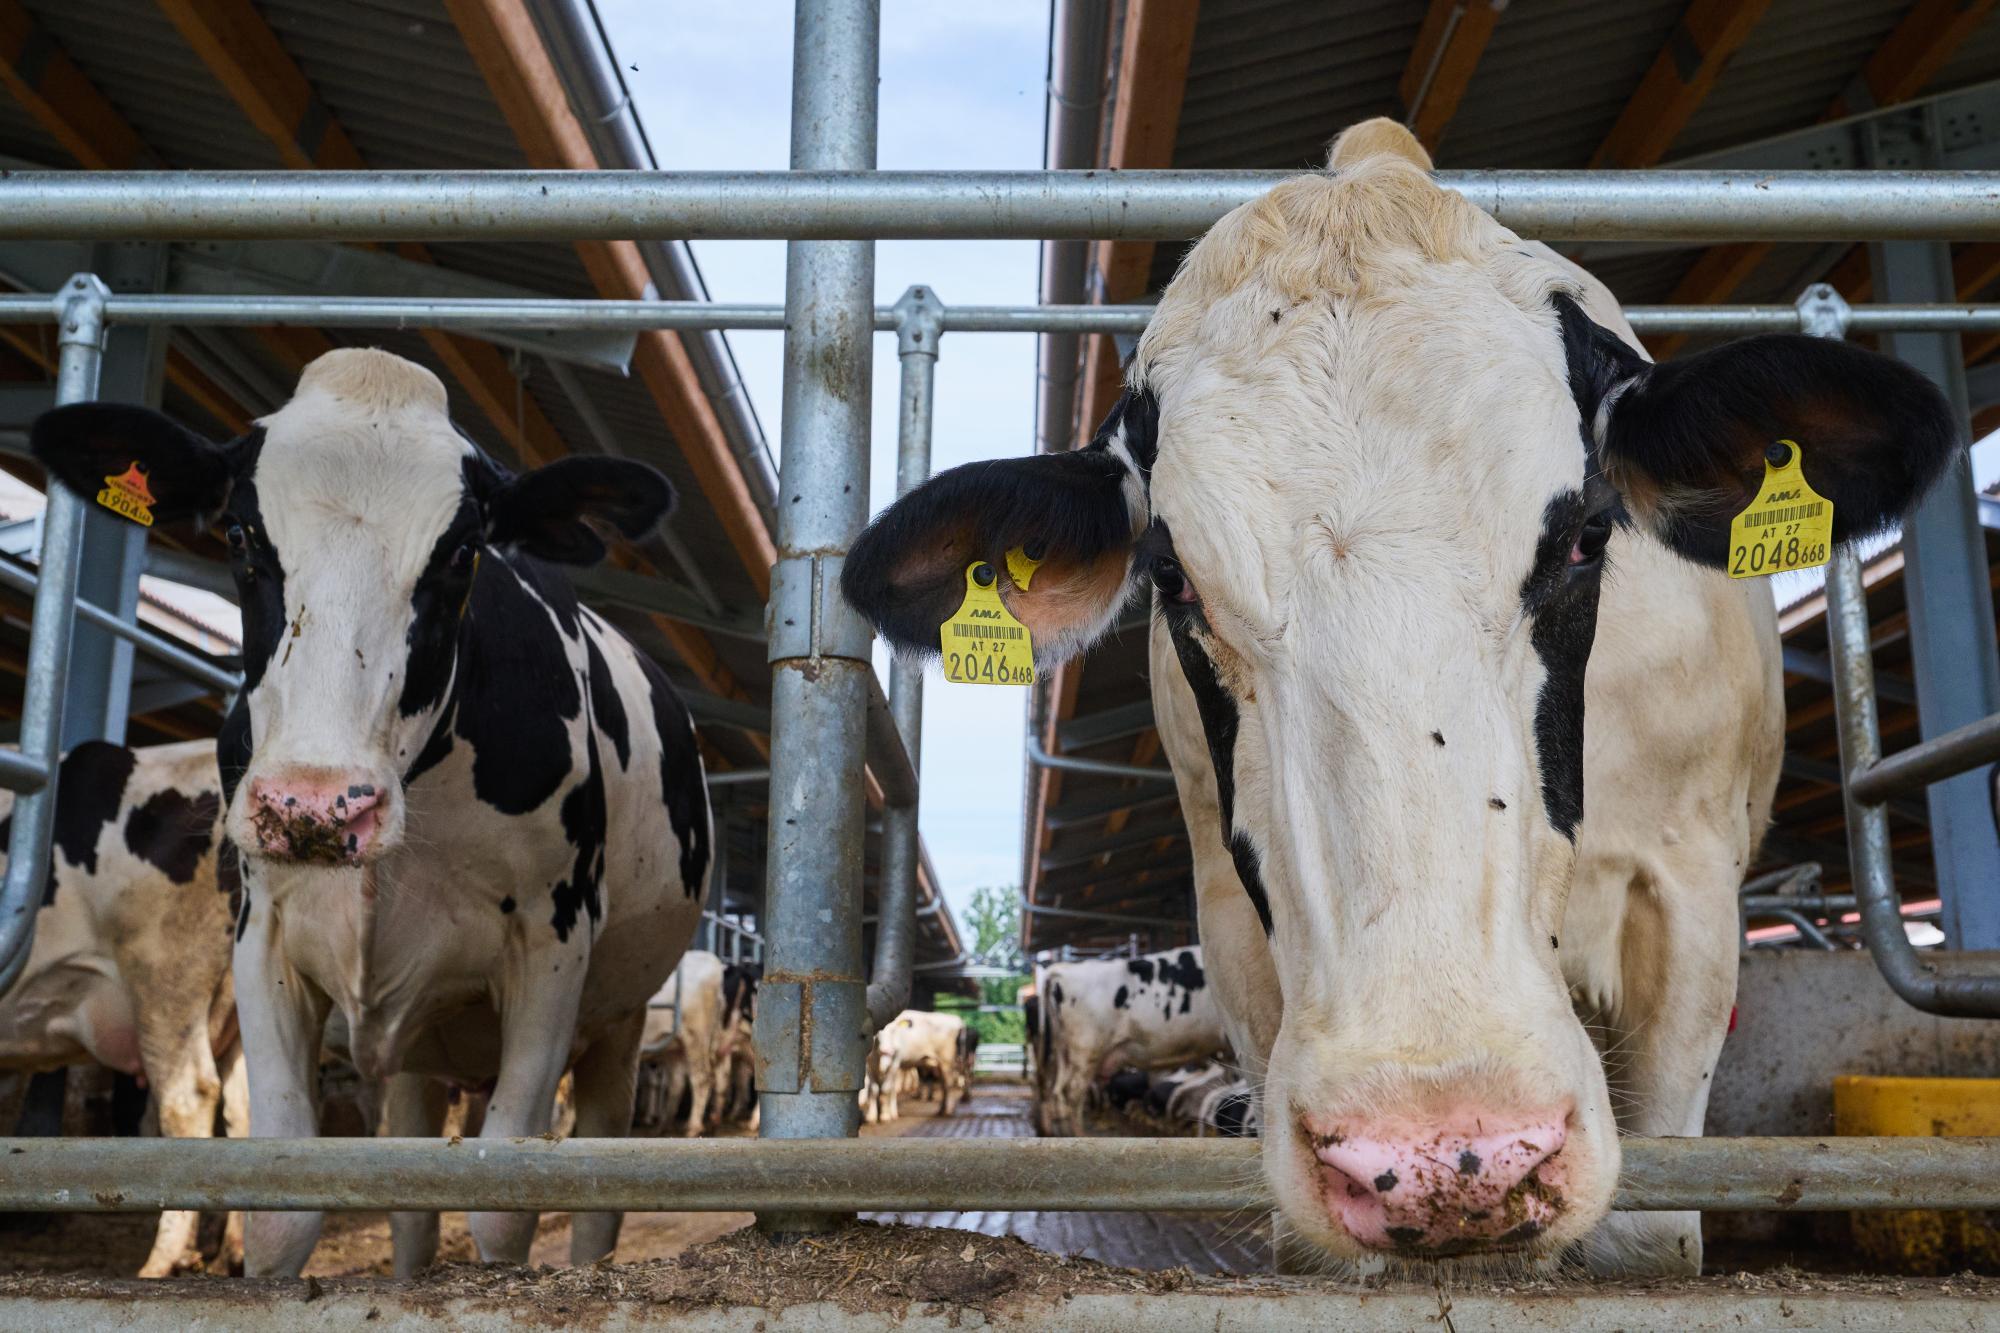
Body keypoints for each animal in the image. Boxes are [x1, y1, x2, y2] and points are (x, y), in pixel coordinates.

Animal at [31, 350, 712, 1280]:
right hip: (425, 1049)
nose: (317, 805)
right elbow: (284, 1213)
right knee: (412, 1200)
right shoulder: (264, 936)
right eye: (238, 536)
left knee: (598, 1186)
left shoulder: (553, 945)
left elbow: (504, 1208)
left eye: (462, 551)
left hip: (620, 1021)